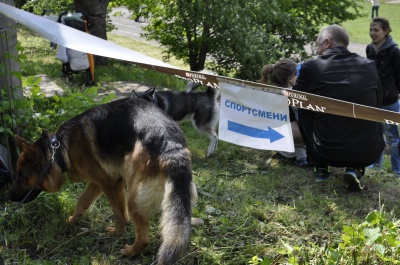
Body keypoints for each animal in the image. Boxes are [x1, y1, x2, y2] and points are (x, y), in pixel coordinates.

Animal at [5, 97, 198, 264]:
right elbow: (82, 201)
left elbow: (119, 213)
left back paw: (130, 251)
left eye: (22, 176)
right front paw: (72, 220)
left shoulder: (111, 183)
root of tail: (171, 146)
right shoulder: (97, 182)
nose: (7, 195)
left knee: (143, 237)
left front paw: (117, 232)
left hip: (134, 199)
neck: (59, 150)